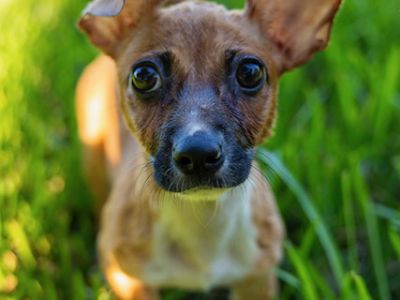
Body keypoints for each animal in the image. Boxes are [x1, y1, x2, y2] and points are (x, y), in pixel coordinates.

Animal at [75, 1, 340, 298]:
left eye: (250, 72)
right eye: (143, 76)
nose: (198, 154)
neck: (202, 219)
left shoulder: (258, 279)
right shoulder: (129, 279)